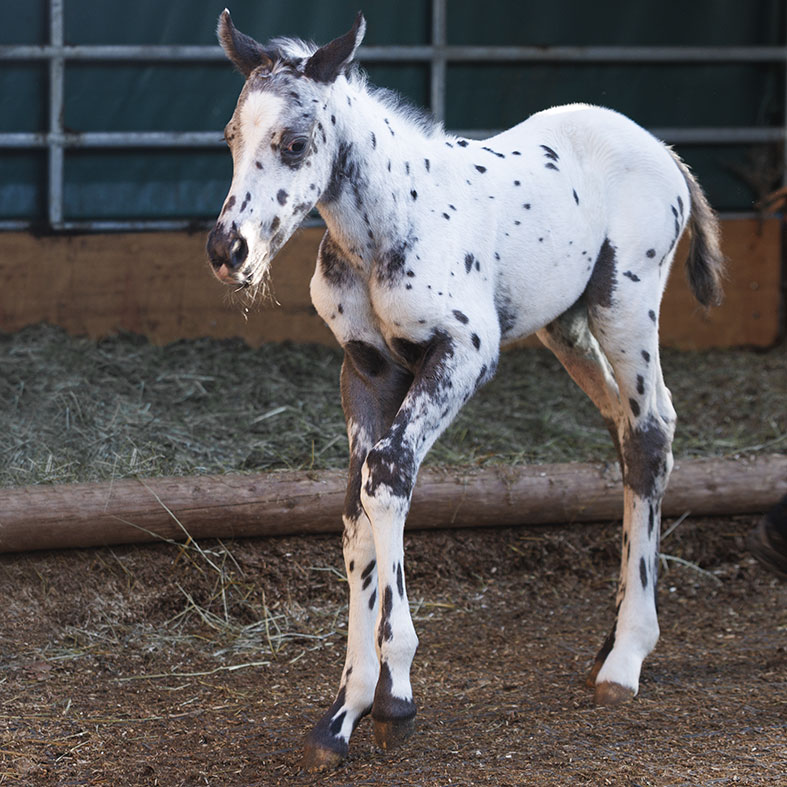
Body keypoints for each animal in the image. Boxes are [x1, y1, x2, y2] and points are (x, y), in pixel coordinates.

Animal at [205, 10, 728, 768]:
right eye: (230, 136)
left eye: (295, 142)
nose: (228, 250)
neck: (387, 226)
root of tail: (662, 149)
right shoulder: (367, 370)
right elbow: (357, 510)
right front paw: (344, 711)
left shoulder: (462, 355)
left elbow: (388, 477)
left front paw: (394, 698)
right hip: (566, 327)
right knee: (624, 433)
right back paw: (609, 641)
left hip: (626, 309)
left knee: (652, 431)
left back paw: (626, 657)